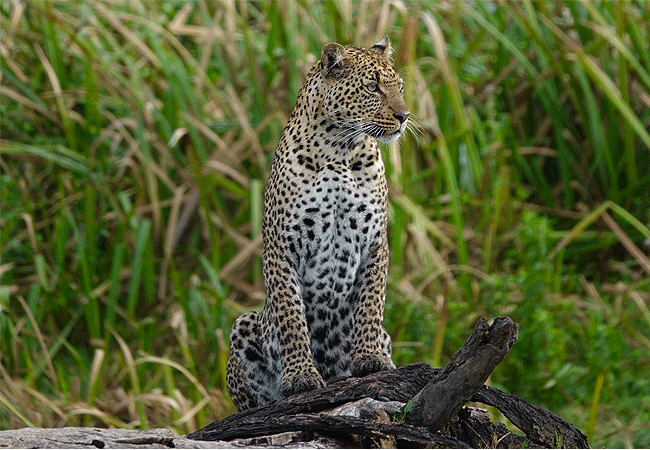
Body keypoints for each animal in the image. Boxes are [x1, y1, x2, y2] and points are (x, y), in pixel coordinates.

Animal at [226, 36, 410, 412]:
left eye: (398, 87)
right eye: (373, 87)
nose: (404, 116)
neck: (341, 150)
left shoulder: (375, 242)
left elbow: (371, 304)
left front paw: (370, 358)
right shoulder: (282, 248)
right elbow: (291, 317)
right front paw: (300, 377)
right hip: (244, 324)